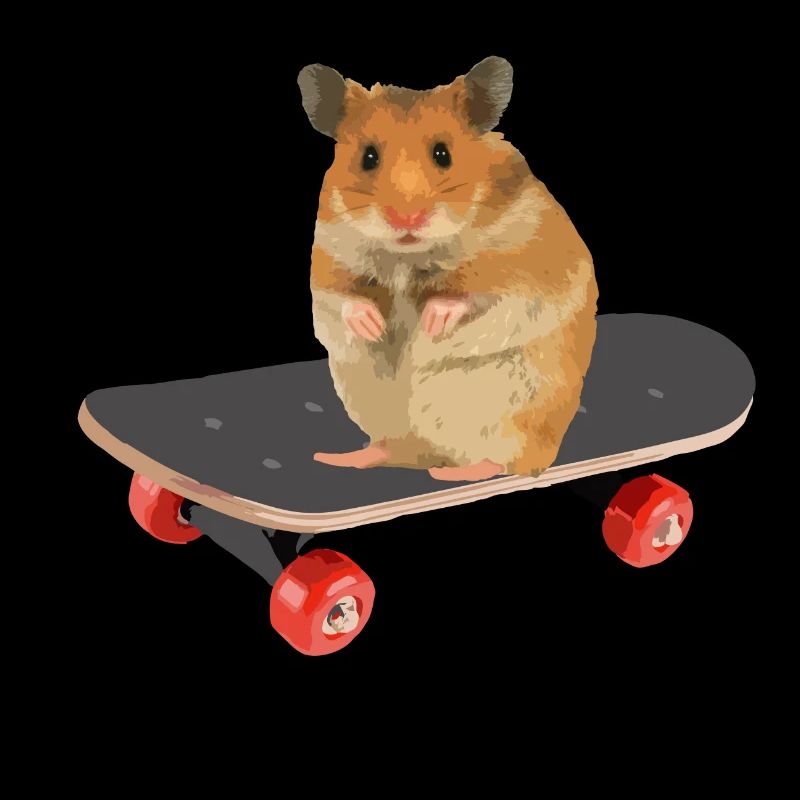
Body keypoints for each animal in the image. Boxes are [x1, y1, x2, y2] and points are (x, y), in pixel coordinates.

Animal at [298, 56, 598, 482]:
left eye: (443, 154)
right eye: (368, 157)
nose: (406, 218)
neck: (409, 255)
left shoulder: (525, 267)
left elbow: (480, 296)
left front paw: (431, 322)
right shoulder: (327, 259)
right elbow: (341, 298)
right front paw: (373, 325)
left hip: (507, 416)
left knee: (504, 462)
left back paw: (450, 474)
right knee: (392, 448)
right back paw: (338, 458)